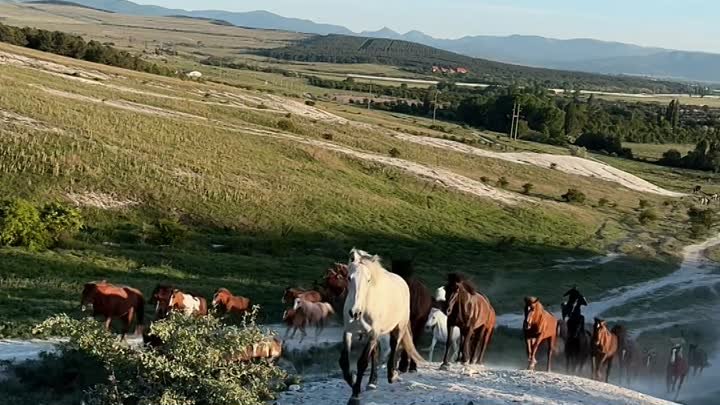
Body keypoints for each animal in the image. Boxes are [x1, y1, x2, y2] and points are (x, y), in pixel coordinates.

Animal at [342, 248, 424, 402]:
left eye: (368, 280)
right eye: (349, 278)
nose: (355, 312)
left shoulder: (372, 333)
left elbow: (362, 362)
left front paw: (355, 394)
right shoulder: (349, 332)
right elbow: (343, 362)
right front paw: (352, 381)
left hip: (398, 327)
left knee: (394, 345)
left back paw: (392, 375)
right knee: (376, 353)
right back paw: (372, 382)